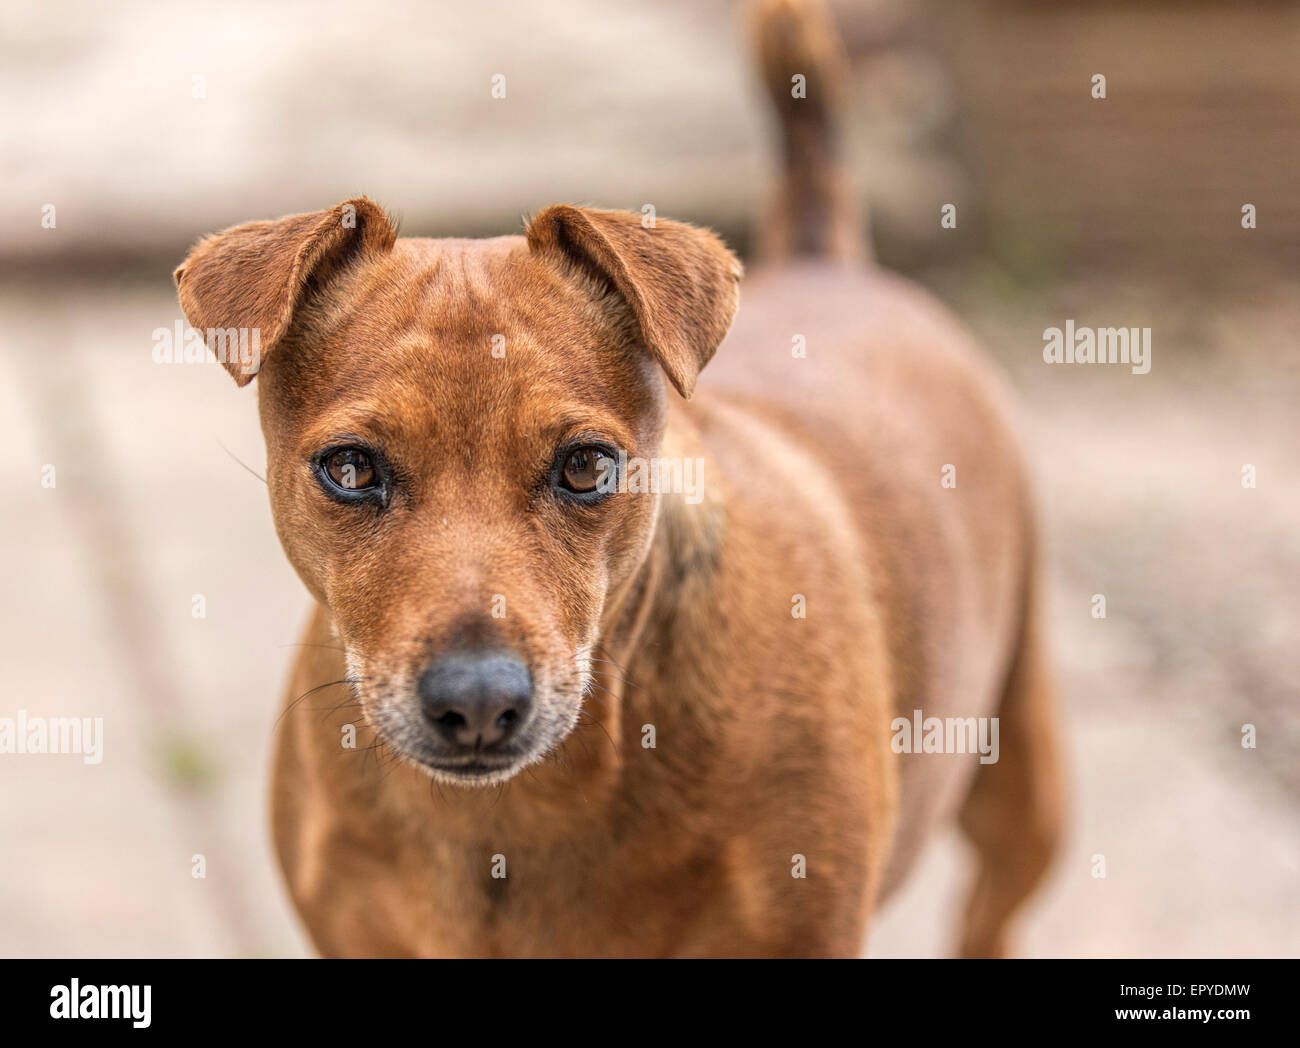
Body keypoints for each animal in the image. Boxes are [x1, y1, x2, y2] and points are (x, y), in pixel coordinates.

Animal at [175, 0, 1066, 962]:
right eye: (349, 469)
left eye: (585, 466)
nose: (478, 702)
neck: (510, 821)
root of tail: (828, 262)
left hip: (1022, 797)